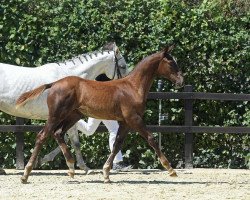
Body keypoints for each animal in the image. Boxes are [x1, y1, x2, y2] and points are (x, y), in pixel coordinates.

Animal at [16, 45, 184, 183]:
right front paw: (170, 169)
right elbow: (151, 139)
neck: (133, 87)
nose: (181, 81)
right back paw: (26, 174)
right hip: (56, 115)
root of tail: (54, 84)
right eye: (171, 63)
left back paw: (71, 167)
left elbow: (116, 145)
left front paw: (106, 173)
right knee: (42, 136)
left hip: (73, 116)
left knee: (58, 133)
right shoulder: (134, 119)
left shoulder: (125, 123)